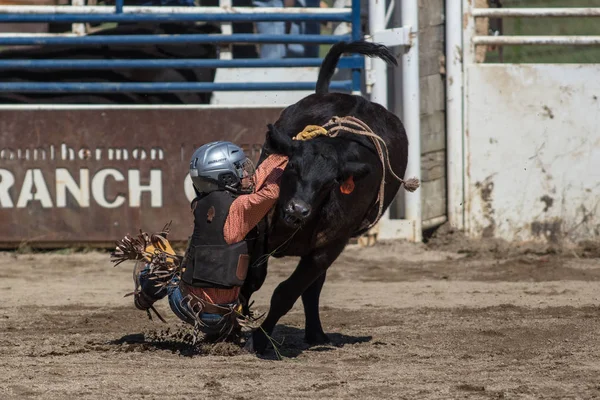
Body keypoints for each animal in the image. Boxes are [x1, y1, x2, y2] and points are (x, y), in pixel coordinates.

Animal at [240, 40, 412, 354]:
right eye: (292, 167)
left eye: (330, 182)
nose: (297, 210)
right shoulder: (259, 226)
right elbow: (253, 277)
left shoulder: (328, 247)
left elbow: (286, 292)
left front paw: (260, 339)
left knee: (311, 290)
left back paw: (316, 334)